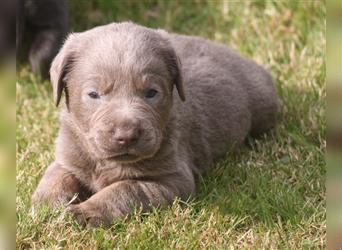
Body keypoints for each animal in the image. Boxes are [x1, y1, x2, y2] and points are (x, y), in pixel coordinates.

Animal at [32, 22, 278, 228]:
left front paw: (86, 212)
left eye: (151, 93)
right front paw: (47, 206)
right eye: (94, 94)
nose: (126, 135)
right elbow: (56, 177)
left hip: (264, 105)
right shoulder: (68, 157)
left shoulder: (172, 179)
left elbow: (124, 189)